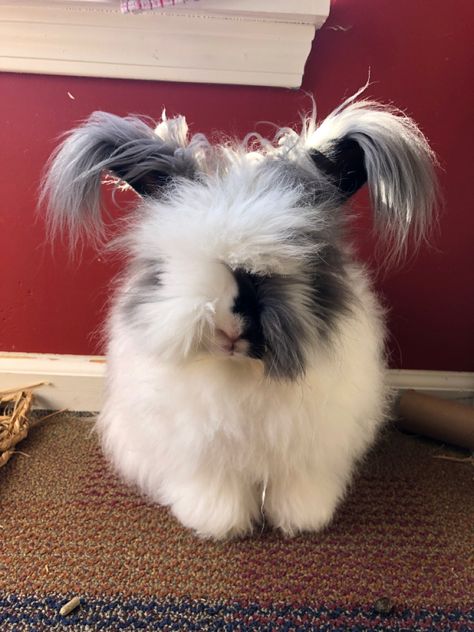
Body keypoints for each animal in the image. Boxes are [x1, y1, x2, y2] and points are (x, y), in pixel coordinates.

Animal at [41, 94, 436, 540]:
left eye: (295, 265)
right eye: (170, 266)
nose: (227, 331)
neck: (241, 372)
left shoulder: (309, 447)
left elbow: (298, 485)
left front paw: (302, 520)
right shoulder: (203, 448)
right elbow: (217, 486)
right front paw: (219, 525)